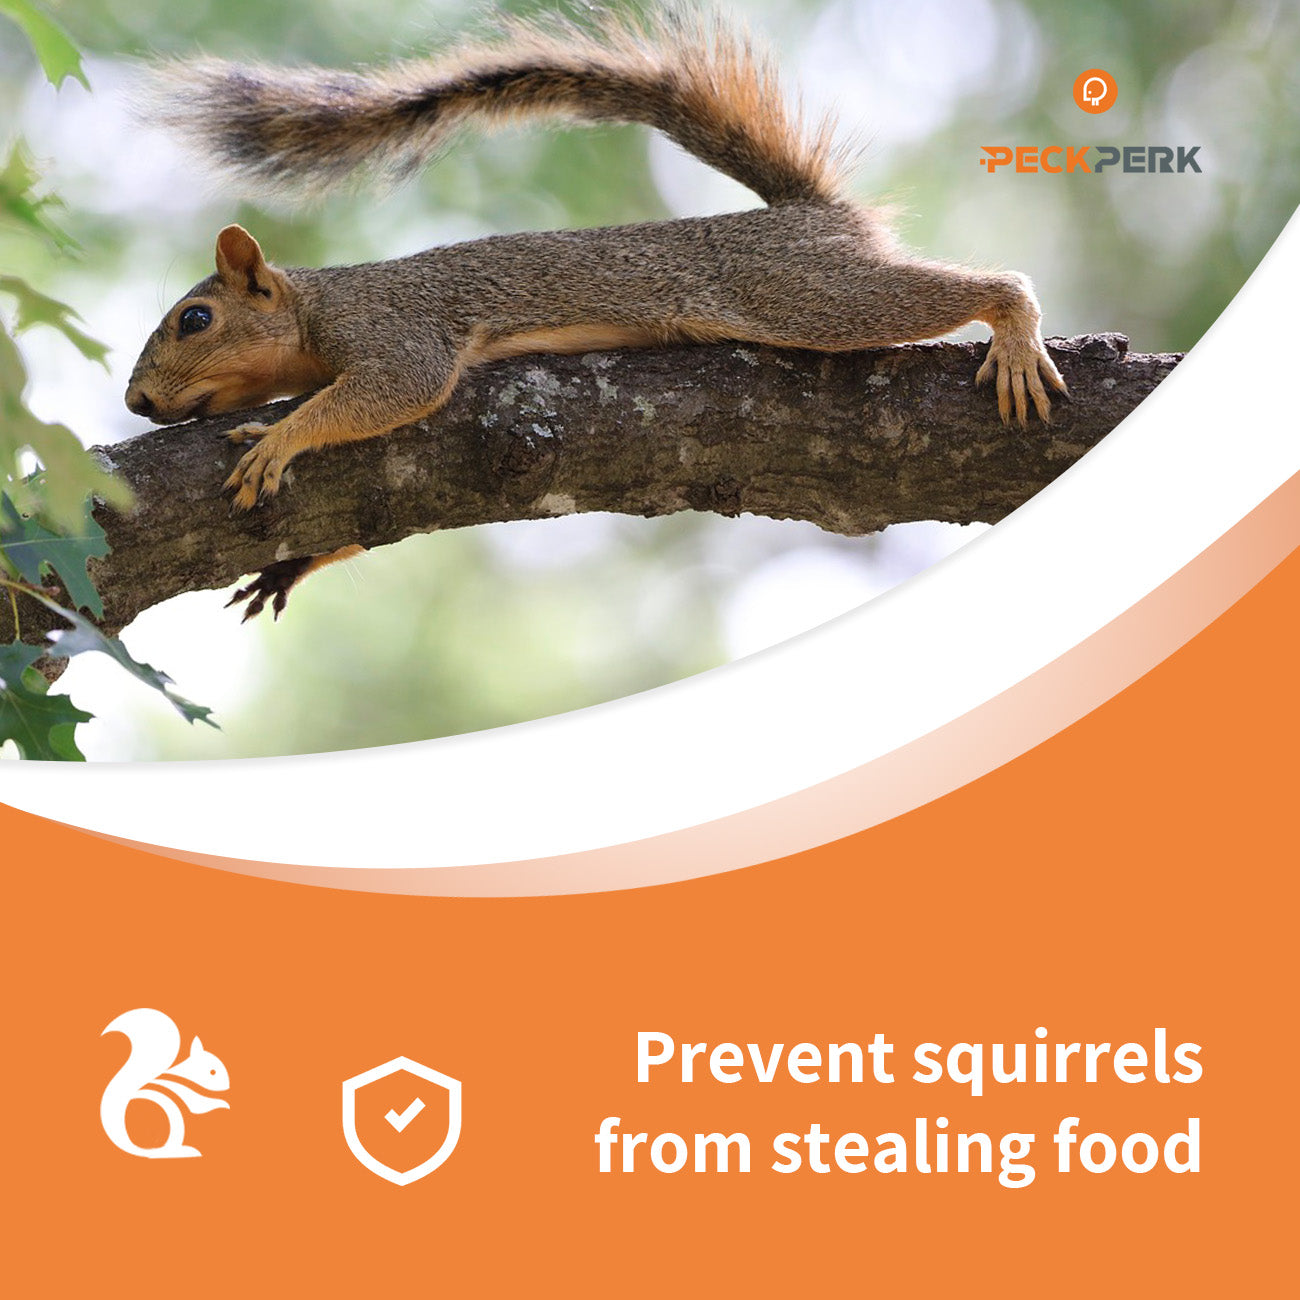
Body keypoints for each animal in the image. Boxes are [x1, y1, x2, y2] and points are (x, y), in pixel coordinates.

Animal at [126, 6, 1066, 618]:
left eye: (195, 320)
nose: (136, 401)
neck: (321, 303)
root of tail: (810, 215)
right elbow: (367, 519)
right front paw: (290, 568)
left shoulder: (397, 328)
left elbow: (398, 389)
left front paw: (281, 438)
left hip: (803, 290)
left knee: (946, 292)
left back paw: (1013, 325)